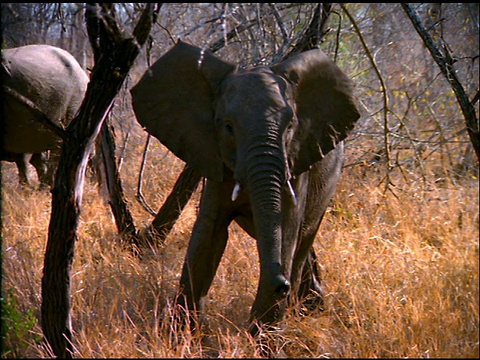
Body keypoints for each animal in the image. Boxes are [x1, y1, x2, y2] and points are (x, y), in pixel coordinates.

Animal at [131, 41, 360, 338]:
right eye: (228, 126)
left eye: (290, 127)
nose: (282, 285)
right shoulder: (214, 155)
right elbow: (209, 234)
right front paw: (184, 334)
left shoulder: (297, 161)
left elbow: (287, 230)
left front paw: (263, 340)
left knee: (303, 239)